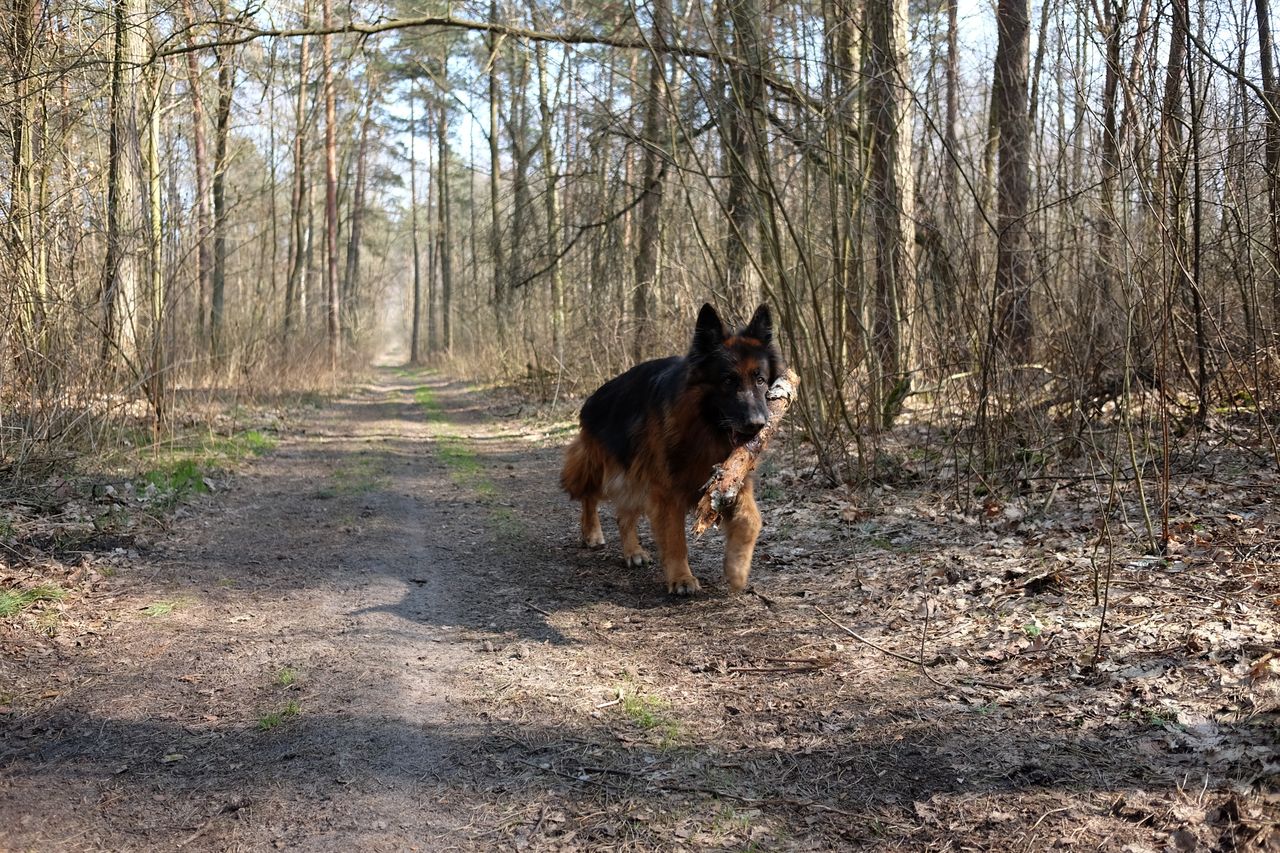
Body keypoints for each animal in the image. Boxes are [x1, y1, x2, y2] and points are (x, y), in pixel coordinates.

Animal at [563, 303, 783, 591]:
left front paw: (736, 569)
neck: (703, 427)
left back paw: (632, 551)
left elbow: (751, 520)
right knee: (589, 494)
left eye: (760, 380)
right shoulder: (667, 491)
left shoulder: (733, 480)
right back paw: (591, 532)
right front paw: (681, 577)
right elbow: (675, 537)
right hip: (604, 465)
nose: (757, 424)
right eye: (728, 381)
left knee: (624, 514)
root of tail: (594, 396)